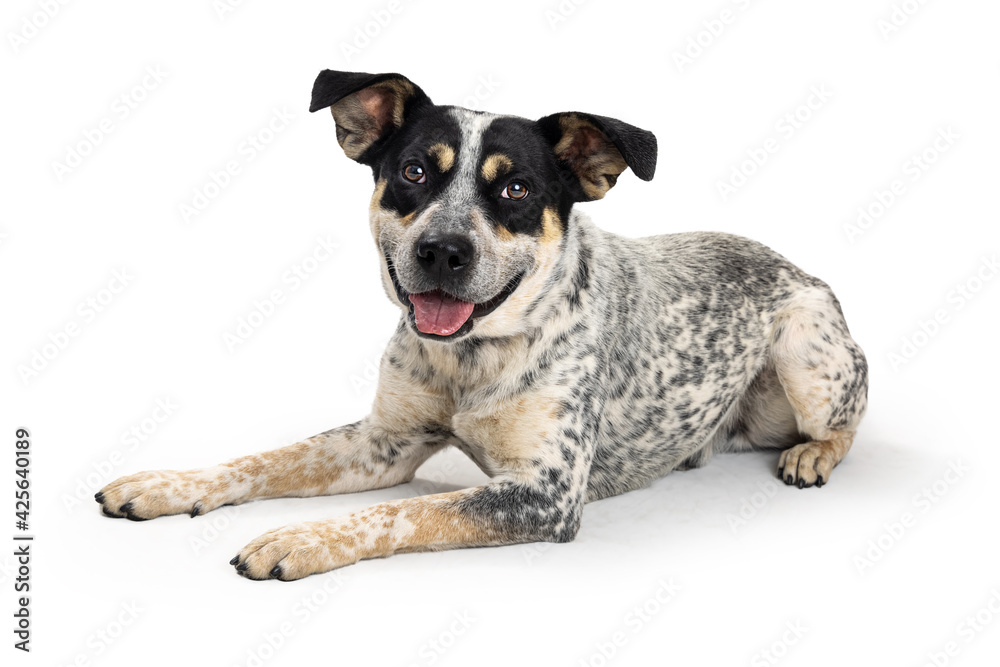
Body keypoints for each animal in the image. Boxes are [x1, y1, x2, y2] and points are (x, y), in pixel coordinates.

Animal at [97, 69, 872, 580]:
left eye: (517, 189)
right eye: (414, 171)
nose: (444, 249)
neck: (470, 358)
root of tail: (797, 266)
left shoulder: (546, 493)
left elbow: (403, 514)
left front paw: (299, 536)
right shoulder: (383, 443)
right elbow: (263, 459)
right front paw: (167, 482)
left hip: (806, 345)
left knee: (846, 419)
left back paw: (812, 455)